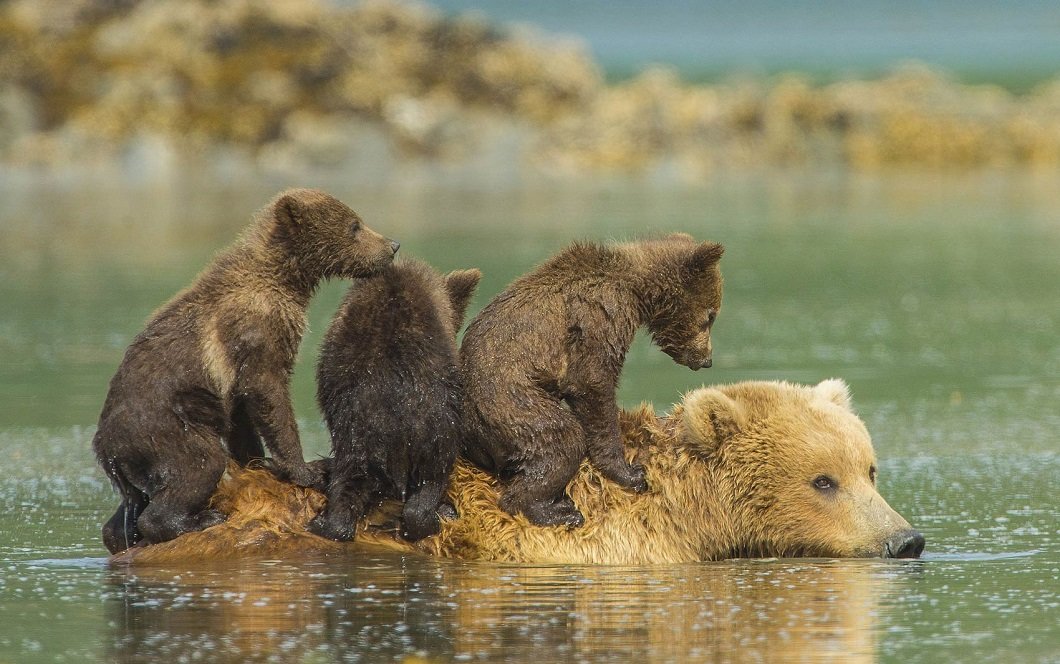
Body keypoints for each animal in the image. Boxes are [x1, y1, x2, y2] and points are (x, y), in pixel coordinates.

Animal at [93, 188, 400, 555]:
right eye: (355, 225)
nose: (392, 246)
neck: (285, 278)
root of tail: (104, 446)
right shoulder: (255, 330)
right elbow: (268, 393)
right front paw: (307, 470)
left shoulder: (235, 370)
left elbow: (242, 414)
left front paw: (256, 462)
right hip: (164, 427)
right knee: (198, 464)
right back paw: (197, 519)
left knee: (127, 509)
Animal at [458, 235, 724, 527]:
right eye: (711, 316)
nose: (707, 359)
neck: (636, 290)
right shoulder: (599, 319)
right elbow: (592, 384)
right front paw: (631, 473)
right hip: (512, 404)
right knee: (560, 440)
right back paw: (555, 511)